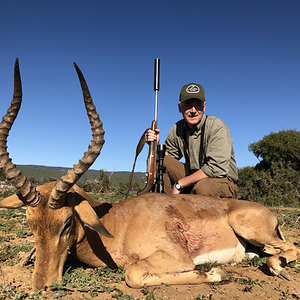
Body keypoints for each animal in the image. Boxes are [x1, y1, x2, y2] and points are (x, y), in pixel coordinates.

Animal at [0, 58, 298, 290]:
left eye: (66, 223)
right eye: (30, 224)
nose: (41, 286)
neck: (118, 224)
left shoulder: (177, 257)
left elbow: (132, 274)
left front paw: (217, 272)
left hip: (250, 228)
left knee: (290, 247)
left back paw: (276, 266)